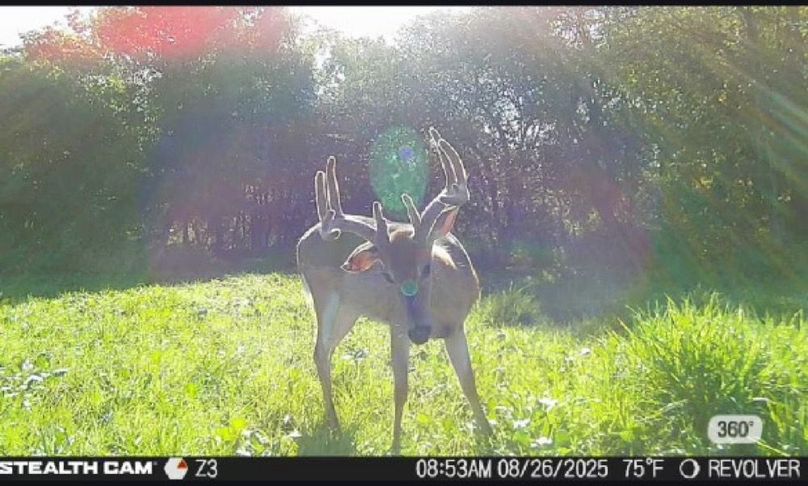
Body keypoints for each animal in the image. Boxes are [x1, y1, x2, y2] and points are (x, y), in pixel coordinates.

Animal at [296, 128, 493, 453]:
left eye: (426, 267)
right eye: (388, 276)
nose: (421, 333)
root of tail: (302, 240)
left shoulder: (457, 327)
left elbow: (469, 381)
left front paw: (489, 433)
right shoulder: (398, 324)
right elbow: (401, 388)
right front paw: (396, 444)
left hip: (351, 309)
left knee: (326, 350)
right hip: (324, 297)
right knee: (319, 350)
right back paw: (335, 425)